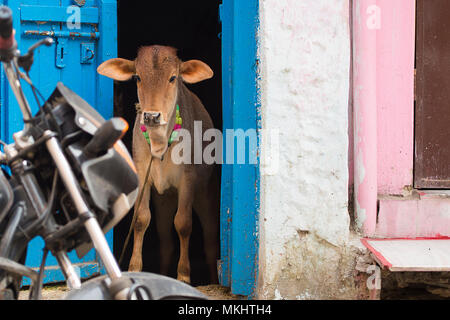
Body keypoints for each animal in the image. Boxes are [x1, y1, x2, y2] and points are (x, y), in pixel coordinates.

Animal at [97, 45, 219, 282]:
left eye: (173, 77)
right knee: (166, 243)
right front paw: (135, 267)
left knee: (210, 243)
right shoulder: (143, 175)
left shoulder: (188, 180)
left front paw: (183, 276)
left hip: (207, 193)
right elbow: (141, 219)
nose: (152, 116)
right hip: (165, 199)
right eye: (137, 77)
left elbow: (183, 224)